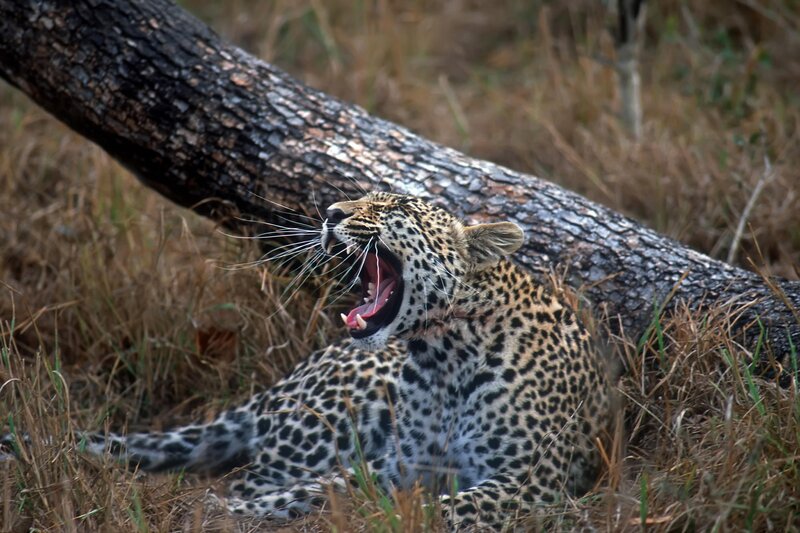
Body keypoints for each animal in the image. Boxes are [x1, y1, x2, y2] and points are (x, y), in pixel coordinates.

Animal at [2, 192, 610, 531]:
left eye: (394, 208)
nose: (330, 212)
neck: (445, 358)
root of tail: (278, 385)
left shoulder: (532, 481)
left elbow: (446, 510)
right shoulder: (403, 462)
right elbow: (327, 488)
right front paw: (231, 513)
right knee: (258, 474)